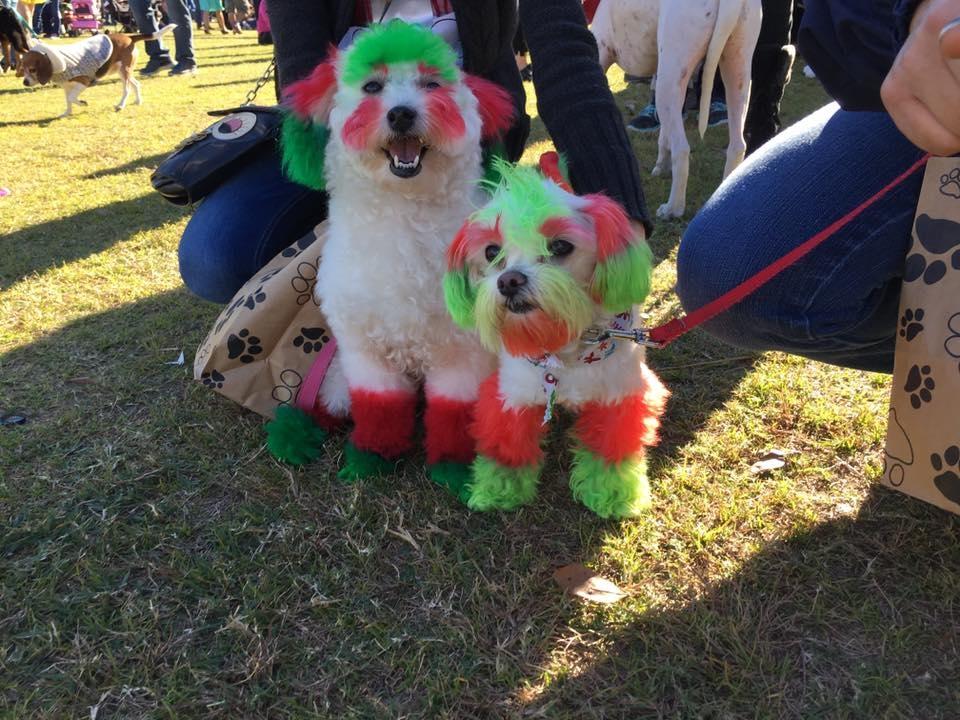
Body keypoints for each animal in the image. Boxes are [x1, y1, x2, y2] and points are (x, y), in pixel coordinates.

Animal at [278, 21, 516, 484]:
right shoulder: (365, 354)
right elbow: (379, 406)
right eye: (372, 86)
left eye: (431, 84)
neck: (405, 217)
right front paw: (373, 456)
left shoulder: (461, 355)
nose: (401, 113)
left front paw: (452, 468)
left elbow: (453, 412)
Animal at [588, 0, 760, 219]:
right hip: (736, 72)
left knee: (682, 149)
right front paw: (661, 165)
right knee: (737, 145)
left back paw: (672, 208)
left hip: (670, 80)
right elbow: (664, 134)